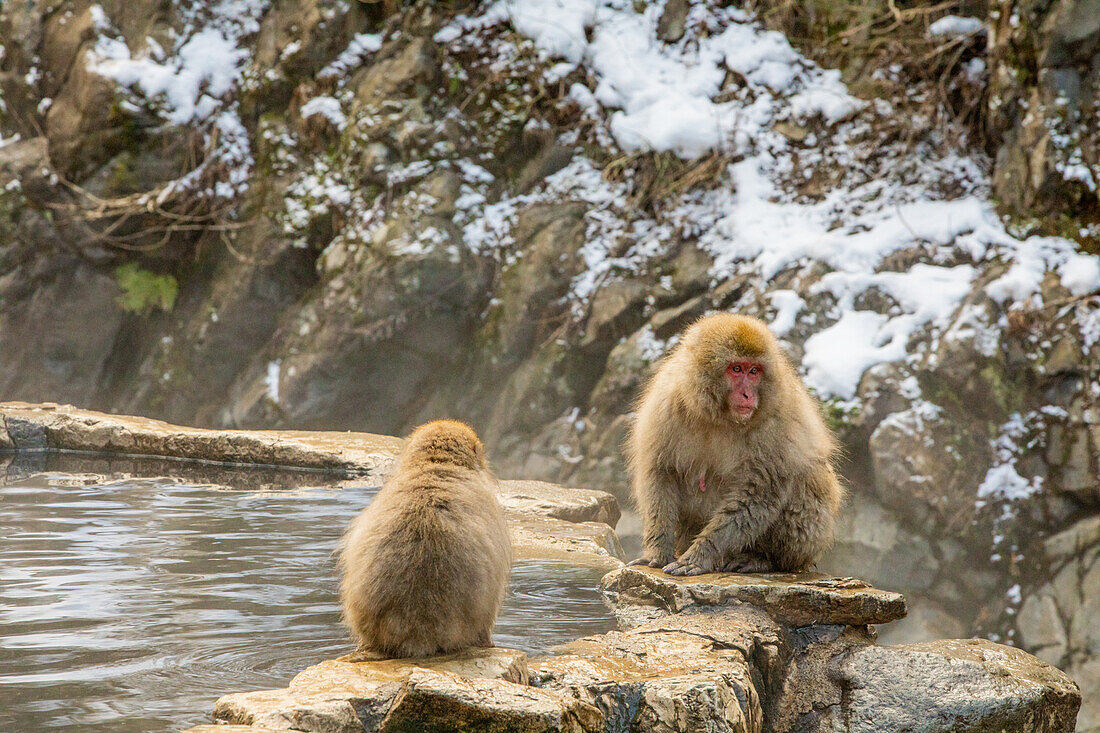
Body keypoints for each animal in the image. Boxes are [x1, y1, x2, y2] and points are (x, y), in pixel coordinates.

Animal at [629, 310, 840, 572]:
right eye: (736, 369)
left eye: (754, 371)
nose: (748, 395)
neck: (717, 417)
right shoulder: (665, 404)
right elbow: (660, 473)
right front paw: (657, 551)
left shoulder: (778, 424)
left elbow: (757, 494)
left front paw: (700, 555)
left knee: (809, 475)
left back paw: (762, 559)